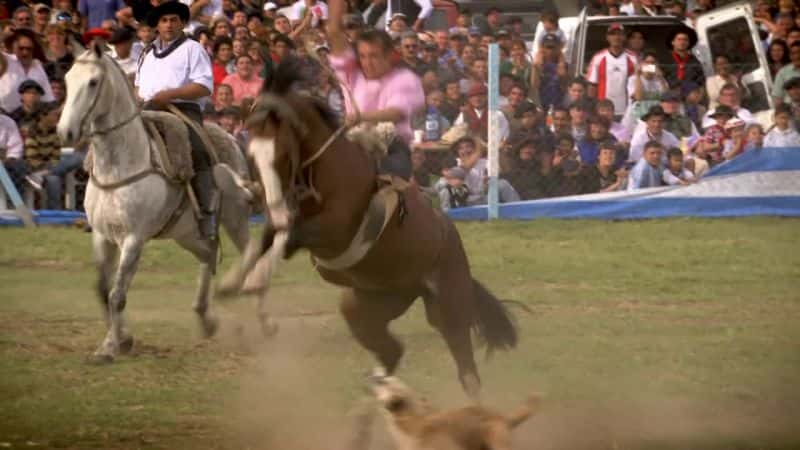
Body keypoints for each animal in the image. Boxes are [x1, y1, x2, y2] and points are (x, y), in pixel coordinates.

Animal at [219, 57, 520, 398]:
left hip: (449, 305)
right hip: (364, 305)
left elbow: (289, 236)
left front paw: (255, 280)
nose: (273, 205)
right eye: (251, 154)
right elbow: (266, 240)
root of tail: (450, 238)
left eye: (283, 153)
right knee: (392, 351)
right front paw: (232, 280)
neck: (329, 172)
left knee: (466, 369)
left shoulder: (332, 230)